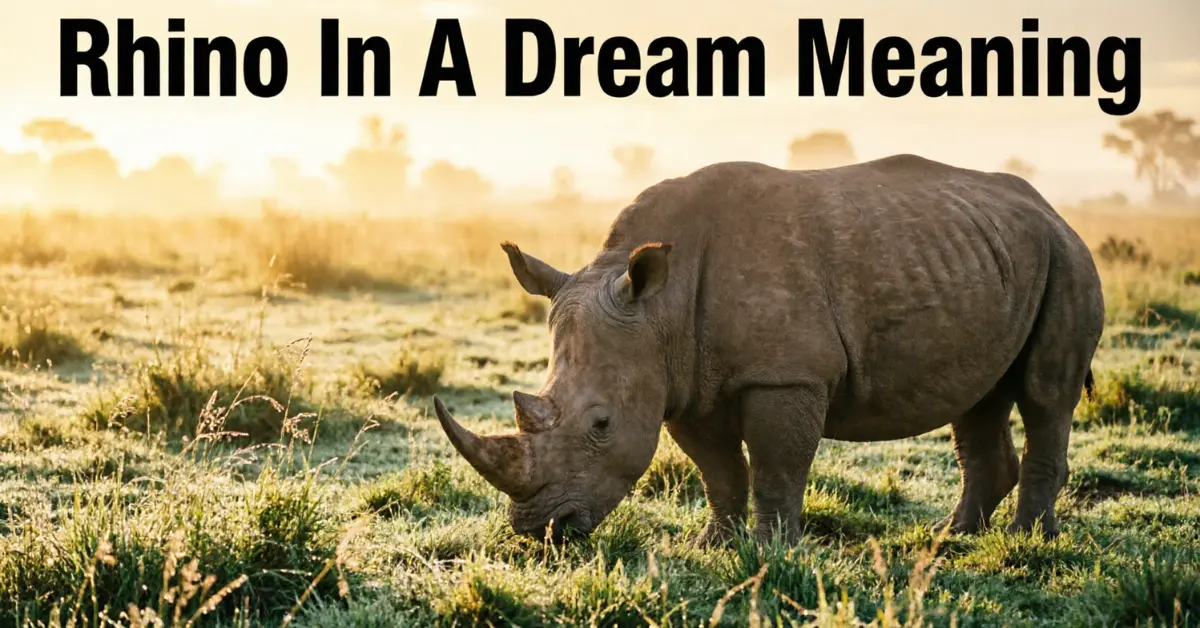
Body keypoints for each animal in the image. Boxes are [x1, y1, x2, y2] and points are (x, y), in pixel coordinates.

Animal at [432, 154, 1105, 546]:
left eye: (601, 424)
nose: (540, 531)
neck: (658, 308)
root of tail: (1050, 207)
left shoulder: (786, 374)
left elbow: (779, 465)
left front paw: (769, 551)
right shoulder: (681, 379)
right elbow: (719, 471)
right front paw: (714, 544)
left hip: (1067, 257)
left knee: (1045, 396)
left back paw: (1028, 542)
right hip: (994, 256)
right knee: (979, 398)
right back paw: (952, 537)